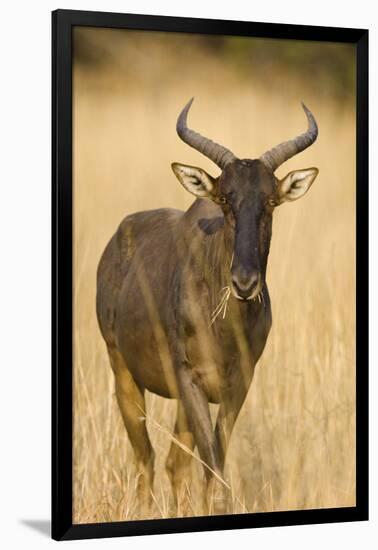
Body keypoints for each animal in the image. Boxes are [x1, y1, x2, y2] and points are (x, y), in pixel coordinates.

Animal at [96, 100, 318, 516]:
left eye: (270, 201)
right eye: (225, 199)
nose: (245, 283)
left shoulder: (240, 382)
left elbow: (215, 458)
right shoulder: (190, 379)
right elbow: (211, 462)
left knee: (173, 464)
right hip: (123, 372)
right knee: (146, 459)